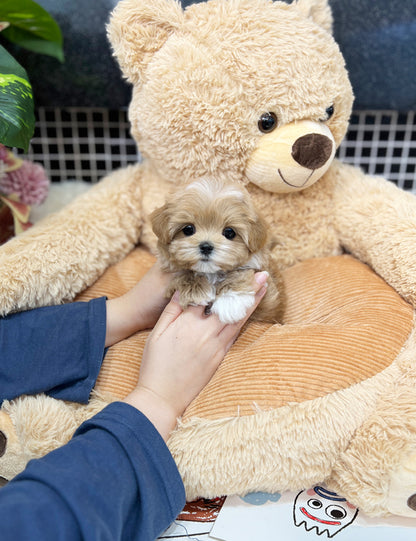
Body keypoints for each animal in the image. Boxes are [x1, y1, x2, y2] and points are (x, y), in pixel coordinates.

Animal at [151, 177, 284, 322]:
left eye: (229, 232)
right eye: (188, 229)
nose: (206, 246)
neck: (211, 272)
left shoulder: (268, 296)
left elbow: (242, 272)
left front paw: (230, 301)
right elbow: (184, 274)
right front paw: (195, 290)